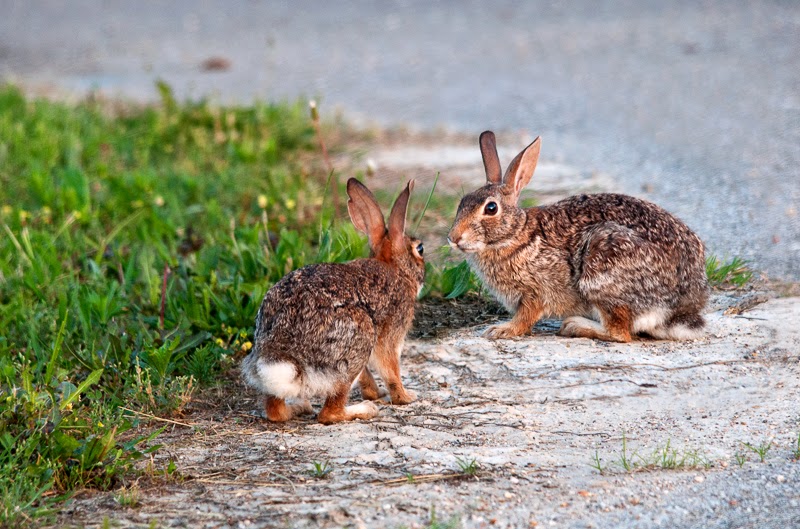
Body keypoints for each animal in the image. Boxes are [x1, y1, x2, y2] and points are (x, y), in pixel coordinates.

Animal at [241, 178, 424, 424]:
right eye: (420, 249)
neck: (397, 269)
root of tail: (284, 356)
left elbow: (368, 375)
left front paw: (376, 393)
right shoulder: (391, 333)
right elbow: (391, 370)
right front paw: (405, 397)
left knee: (275, 411)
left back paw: (299, 407)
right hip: (360, 336)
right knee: (329, 413)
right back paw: (365, 409)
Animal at [447, 131, 709, 343]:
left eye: (491, 208)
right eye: (462, 202)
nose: (453, 237)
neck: (516, 235)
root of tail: (678, 311)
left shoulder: (536, 291)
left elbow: (526, 317)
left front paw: (501, 330)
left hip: (602, 270)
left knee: (620, 333)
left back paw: (574, 325)